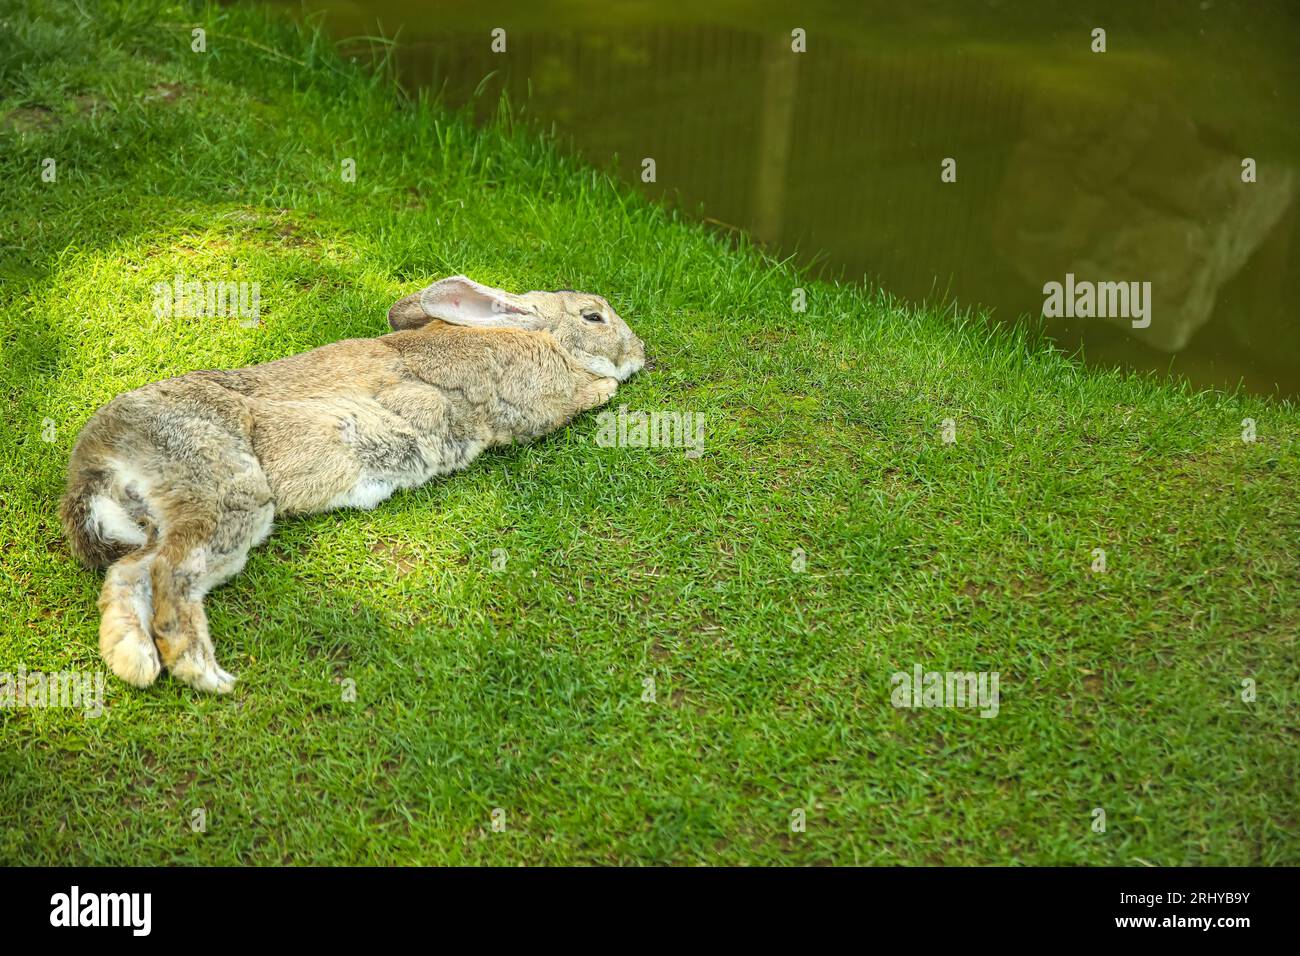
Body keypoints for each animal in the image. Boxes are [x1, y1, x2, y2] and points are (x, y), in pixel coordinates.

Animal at [60, 275, 646, 693]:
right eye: (593, 315)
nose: (641, 351)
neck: (537, 337)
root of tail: (98, 461)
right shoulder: (530, 404)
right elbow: (582, 399)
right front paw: (608, 385)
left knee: (129, 574)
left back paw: (134, 662)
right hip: (227, 496)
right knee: (170, 575)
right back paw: (204, 674)